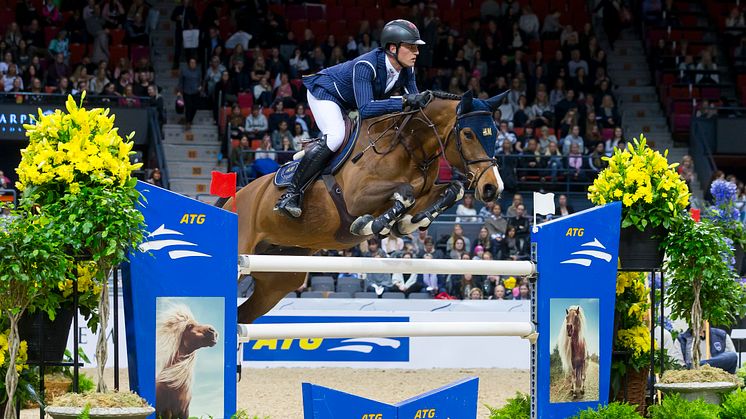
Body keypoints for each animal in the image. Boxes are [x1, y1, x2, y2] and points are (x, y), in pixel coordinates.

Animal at [221, 90, 506, 324]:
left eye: (495, 133)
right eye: (468, 134)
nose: (492, 188)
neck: (410, 145)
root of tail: (233, 198)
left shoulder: (427, 189)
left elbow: (452, 190)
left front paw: (408, 223)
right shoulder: (355, 198)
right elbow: (405, 192)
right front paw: (372, 225)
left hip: (278, 279)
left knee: (243, 317)